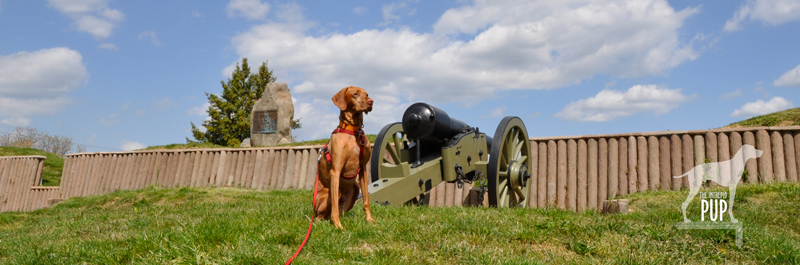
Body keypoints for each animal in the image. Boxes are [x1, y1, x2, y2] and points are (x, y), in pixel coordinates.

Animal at [312, 85, 376, 228]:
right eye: (355, 94)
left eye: (367, 94)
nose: (371, 101)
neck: (353, 131)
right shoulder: (335, 171)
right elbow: (334, 207)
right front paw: (338, 226)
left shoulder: (363, 169)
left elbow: (366, 200)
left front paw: (370, 220)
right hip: (328, 194)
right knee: (321, 215)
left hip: (355, 187)